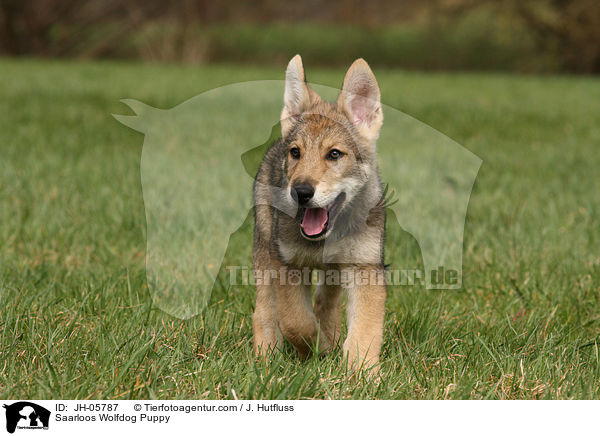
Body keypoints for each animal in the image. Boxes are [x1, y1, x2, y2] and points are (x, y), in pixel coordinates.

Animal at [252, 52, 384, 370]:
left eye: (334, 154)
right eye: (296, 153)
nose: (300, 192)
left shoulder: (365, 269)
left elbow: (364, 331)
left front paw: (362, 374)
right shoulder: (287, 264)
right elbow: (296, 321)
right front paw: (314, 348)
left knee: (327, 302)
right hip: (264, 251)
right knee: (264, 311)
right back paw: (265, 358)